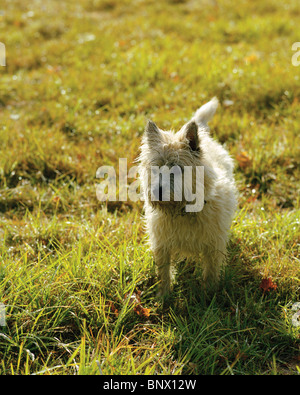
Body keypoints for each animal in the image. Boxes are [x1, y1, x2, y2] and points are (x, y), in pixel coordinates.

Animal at [138, 98, 237, 296]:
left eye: (177, 169)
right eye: (155, 168)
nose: (157, 192)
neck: (182, 210)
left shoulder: (213, 246)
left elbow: (210, 272)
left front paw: (209, 296)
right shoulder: (162, 245)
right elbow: (163, 273)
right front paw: (163, 297)